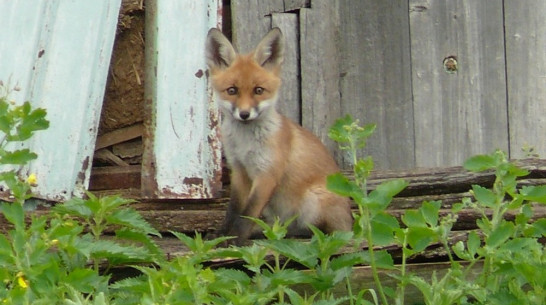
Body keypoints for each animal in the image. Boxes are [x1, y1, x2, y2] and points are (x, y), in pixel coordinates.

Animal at [205, 26, 352, 245]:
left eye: (258, 90)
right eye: (232, 90)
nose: (244, 114)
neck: (245, 144)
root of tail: (351, 222)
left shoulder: (267, 174)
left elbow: (248, 213)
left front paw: (236, 240)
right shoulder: (239, 171)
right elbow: (233, 210)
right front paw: (222, 236)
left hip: (313, 201)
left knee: (320, 232)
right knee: (284, 229)